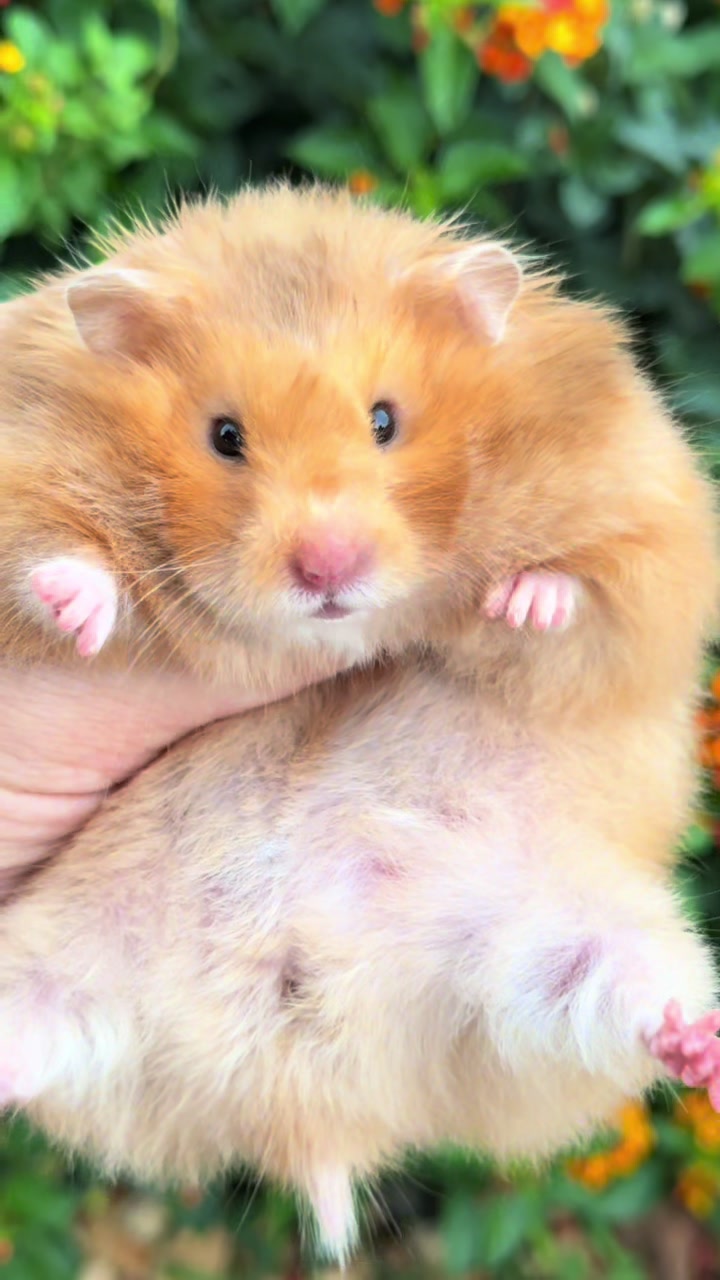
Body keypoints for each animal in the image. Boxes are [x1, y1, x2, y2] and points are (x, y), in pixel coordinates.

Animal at [0, 184, 718, 1257]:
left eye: (386, 421)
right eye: (224, 436)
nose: (328, 570)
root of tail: (317, 1109)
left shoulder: (645, 525)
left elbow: (584, 592)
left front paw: (521, 602)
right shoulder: (25, 470)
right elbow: (55, 558)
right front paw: (82, 603)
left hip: (553, 958)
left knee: (628, 1001)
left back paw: (697, 1043)